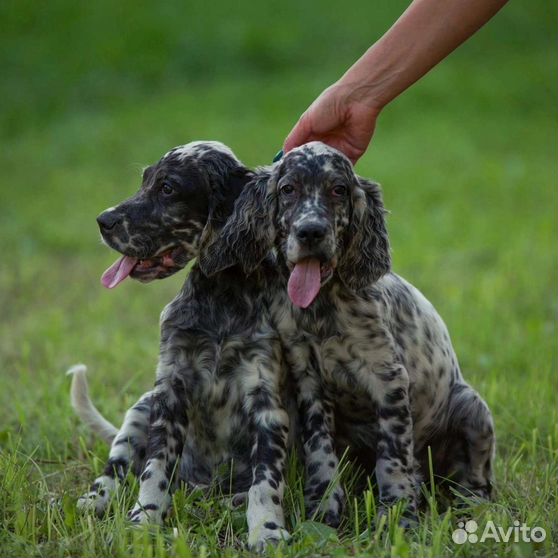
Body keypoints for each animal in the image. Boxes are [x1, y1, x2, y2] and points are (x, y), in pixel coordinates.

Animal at [71, 141, 296, 552]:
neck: (221, 296)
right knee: (118, 464)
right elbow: (154, 470)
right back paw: (95, 499)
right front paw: (143, 522)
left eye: (168, 188)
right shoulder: (170, 392)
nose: (103, 220)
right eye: (145, 181)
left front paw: (267, 530)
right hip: (141, 408)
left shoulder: (267, 403)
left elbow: (266, 482)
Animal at [202, 141, 498, 524]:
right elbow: (319, 447)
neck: (322, 307)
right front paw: (324, 505)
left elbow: (393, 456)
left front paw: (398, 514)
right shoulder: (308, 380)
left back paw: (472, 505)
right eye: (288, 189)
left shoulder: (388, 379)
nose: (311, 232)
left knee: (475, 478)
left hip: (472, 409)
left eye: (338, 190)